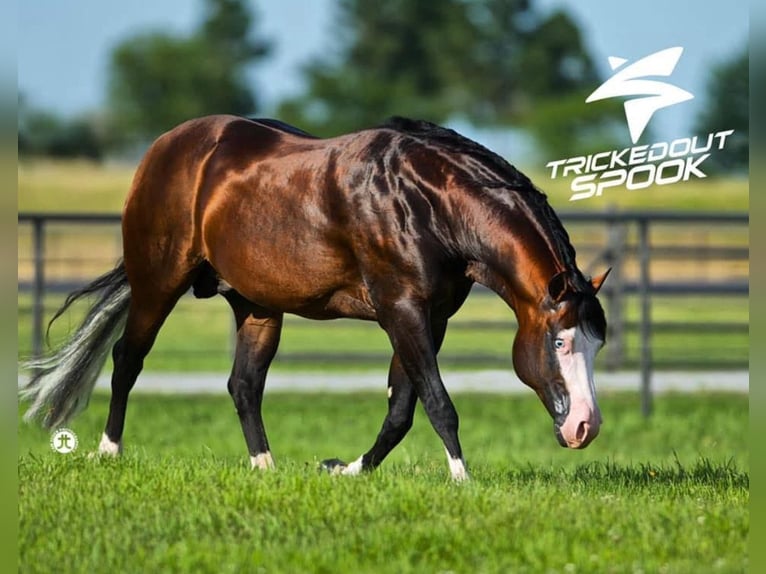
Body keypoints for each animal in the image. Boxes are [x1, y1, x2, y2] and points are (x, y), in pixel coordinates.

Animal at [20, 115, 609, 480]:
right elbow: (438, 403)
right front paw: (462, 479)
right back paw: (108, 451)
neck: (425, 201)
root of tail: (165, 149)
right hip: (157, 282)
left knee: (243, 385)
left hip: (257, 306)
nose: (585, 427)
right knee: (127, 360)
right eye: (559, 342)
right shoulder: (402, 311)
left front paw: (347, 469)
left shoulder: (429, 318)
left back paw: (265, 467)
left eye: (596, 345)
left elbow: (401, 408)